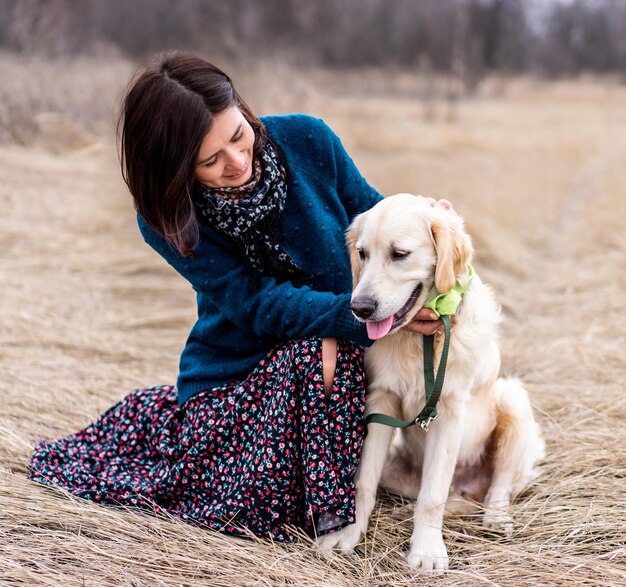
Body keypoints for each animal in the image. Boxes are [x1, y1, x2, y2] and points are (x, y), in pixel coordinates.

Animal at [316, 195, 540, 572]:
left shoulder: (448, 410)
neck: (420, 338)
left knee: (497, 486)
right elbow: (363, 481)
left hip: (512, 399)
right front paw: (347, 534)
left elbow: (432, 494)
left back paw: (496, 518)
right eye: (362, 253)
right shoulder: (381, 401)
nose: (360, 308)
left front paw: (427, 551)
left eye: (400, 254)